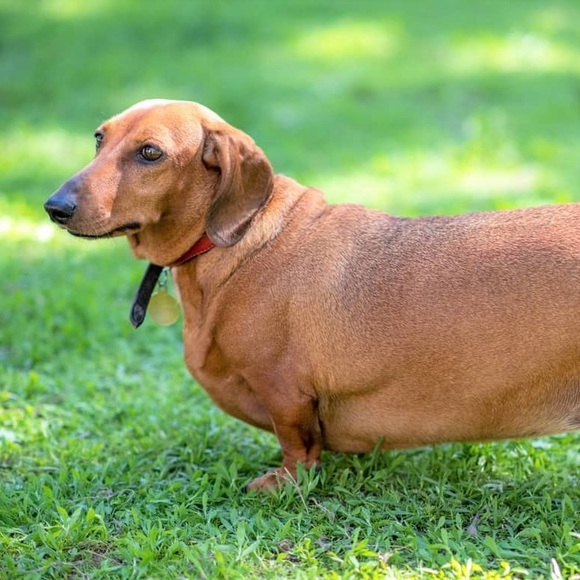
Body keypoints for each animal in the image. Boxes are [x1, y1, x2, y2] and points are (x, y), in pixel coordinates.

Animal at [45, 99, 580, 491]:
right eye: (99, 138)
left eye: (151, 153)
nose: (54, 207)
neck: (243, 244)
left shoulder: (286, 393)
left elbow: (297, 448)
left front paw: (283, 483)